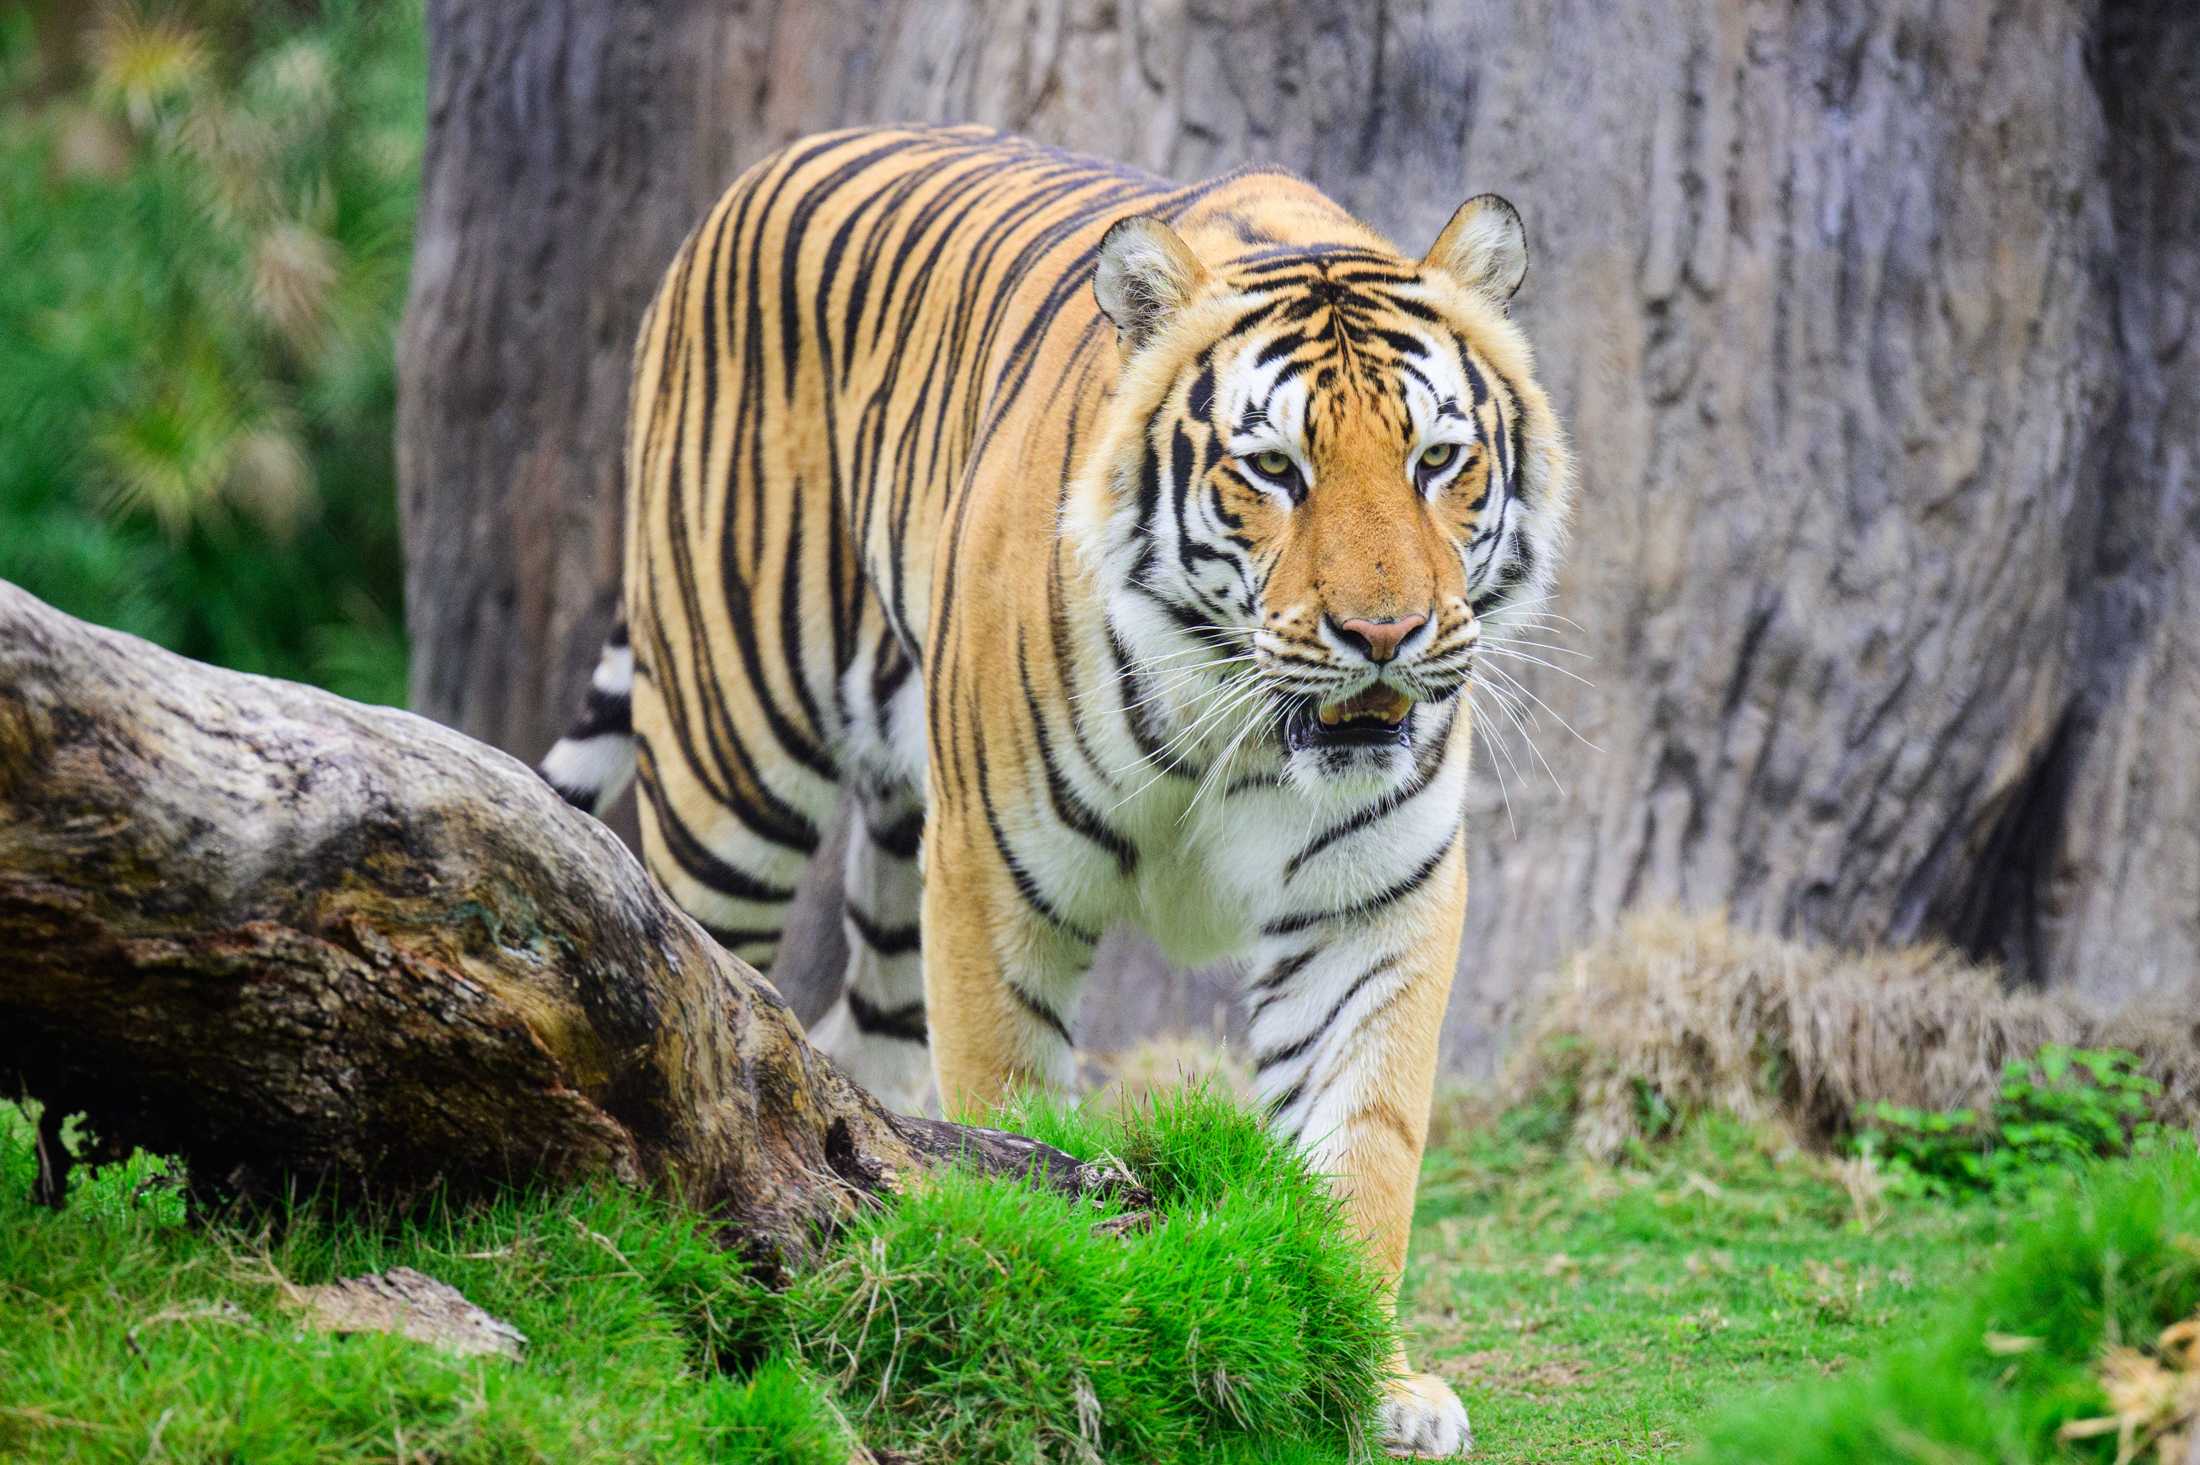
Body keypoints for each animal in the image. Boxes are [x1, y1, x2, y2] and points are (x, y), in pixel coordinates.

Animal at [541, 122, 1575, 1451]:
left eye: (1438, 459)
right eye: (1272, 469)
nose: (1383, 636)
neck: (1241, 721)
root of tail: (766, 168)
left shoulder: (1370, 901)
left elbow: (1364, 1140)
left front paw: (1372, 1381)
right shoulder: (994, 883)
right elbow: (1015, 1114)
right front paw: (1049, 1335)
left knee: (857, 1072)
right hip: (730, 775)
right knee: (697, 1033)